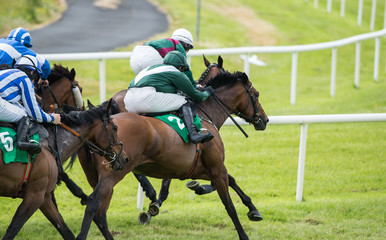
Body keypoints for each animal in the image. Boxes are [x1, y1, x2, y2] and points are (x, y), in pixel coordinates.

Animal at [0, 98, 126, 239]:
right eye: (115, 128)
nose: (125, 158)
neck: (49, 143)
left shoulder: (44, 197)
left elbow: (65, 230)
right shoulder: (34, 196)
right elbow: (13, 229)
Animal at [74, 63, 268, 238]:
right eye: (257, 94)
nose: (265, 120)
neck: (205, 114)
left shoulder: (198, 169)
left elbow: (232, 180)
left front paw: (253, 210)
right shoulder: (216, 168)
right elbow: (230, 206)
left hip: (97, 176)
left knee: (100, 214)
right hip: (113, 173)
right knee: (93, 204)